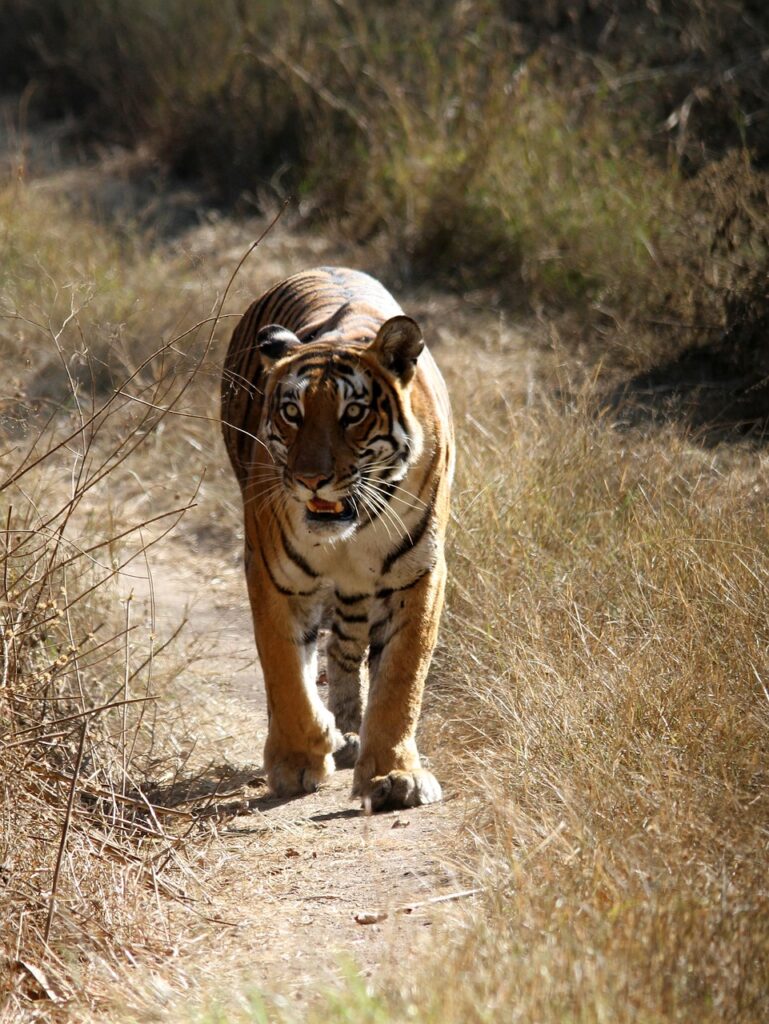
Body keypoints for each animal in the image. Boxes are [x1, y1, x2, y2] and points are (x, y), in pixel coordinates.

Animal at [219, 268, 454, 811]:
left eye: (352, 414)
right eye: (292, 412)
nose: (311, 479)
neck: (352, 531)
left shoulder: (420, 574)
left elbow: (401, 678)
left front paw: (394, 775)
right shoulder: (272, 575)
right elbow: (285, 671)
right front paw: (300, 758)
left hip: (362, 589)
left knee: (345, 648)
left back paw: (350, 730)